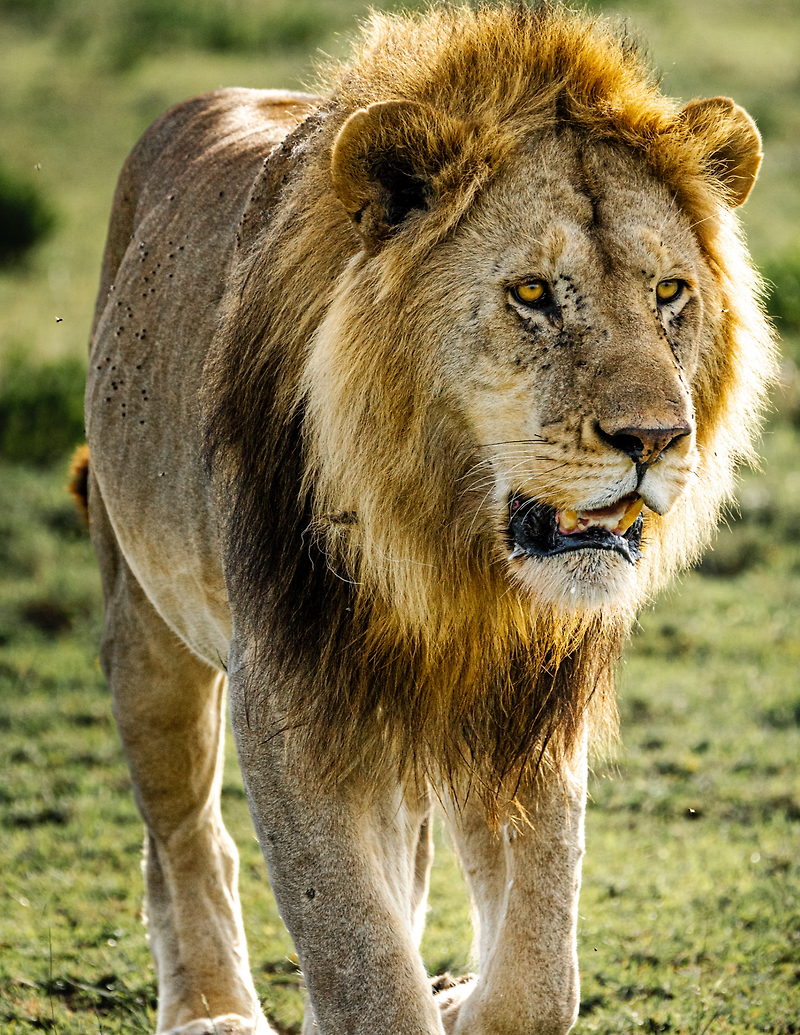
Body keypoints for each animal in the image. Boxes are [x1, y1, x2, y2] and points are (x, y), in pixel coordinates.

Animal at [82, 2, 774, 1035]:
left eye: (668, 293)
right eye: (531, 293)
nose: (655, 439)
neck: (453, 551)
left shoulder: (524, 699)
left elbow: (537, 974)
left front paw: (457, 998)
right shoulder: (288, 690)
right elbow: (361, 960)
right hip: (145, 624)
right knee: (185, 830)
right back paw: (210, 1007)